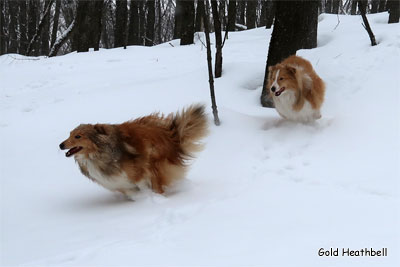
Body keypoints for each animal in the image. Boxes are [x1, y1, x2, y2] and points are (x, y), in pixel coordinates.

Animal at [60, 104, 209, 197]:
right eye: (69, 134)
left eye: (78, 136)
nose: (60, 145)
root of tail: (171, 136)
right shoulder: (120, 184)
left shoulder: (138, 174)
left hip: (155, 163)